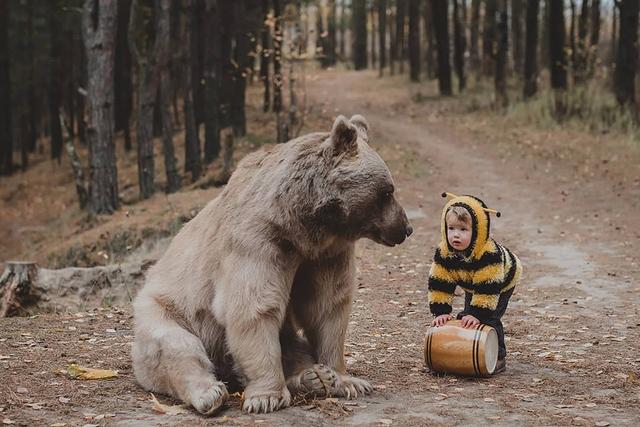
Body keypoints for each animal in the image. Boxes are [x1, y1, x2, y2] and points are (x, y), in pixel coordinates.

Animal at [132, 114, 412, 414]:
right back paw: (210, 393)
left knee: (292, 345)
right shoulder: (260, 241)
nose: (406, 228)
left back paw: (314, 377)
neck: (303, 228)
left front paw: (347, 380)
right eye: (388, 191)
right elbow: (254, 306)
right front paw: (266, 397)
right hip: (167, 310)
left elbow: (327, 306)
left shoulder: (325, 255)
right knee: (176, 346)